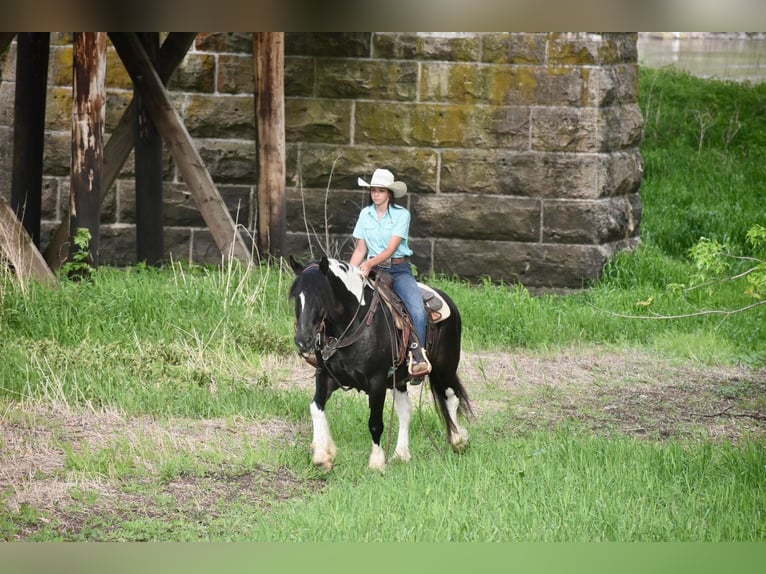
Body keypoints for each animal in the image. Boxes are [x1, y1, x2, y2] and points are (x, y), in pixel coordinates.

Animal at [288, 256, 472, 472]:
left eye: (320, 296)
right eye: (296, 297)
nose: (303, 340)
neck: (353, 323)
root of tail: (448, 300)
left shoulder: (376, 382)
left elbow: (375, 422)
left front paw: (376, 462)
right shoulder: (325, 376)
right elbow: (315, 408)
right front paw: (322, 455)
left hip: (445, 367)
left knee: (451, 398)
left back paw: (458, 440)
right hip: (400, 379)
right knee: (406, 410)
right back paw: (401, 454)